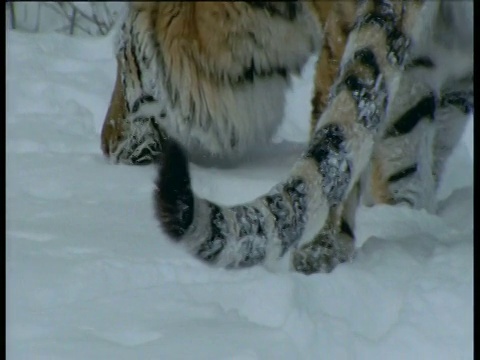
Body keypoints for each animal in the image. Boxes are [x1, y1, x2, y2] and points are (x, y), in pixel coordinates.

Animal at [101, 1, 472, 274]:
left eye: (122, 61)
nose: (106, 144)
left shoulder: (341, 31)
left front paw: (322, 254)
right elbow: (407, 153)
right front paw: (413, 216)